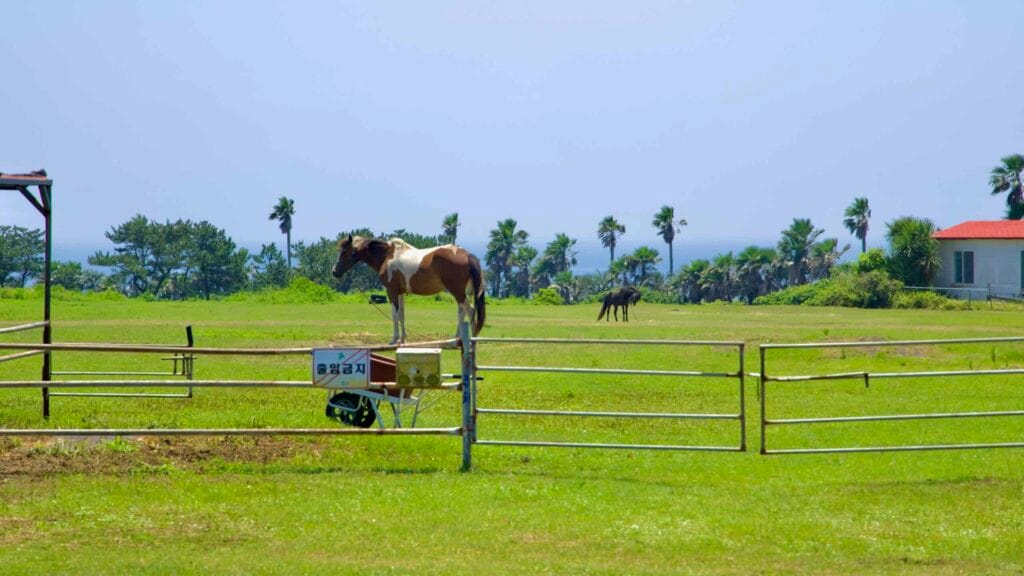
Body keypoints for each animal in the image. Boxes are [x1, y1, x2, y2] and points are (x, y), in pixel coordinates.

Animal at [332, 235, 486, 344]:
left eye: (344, 252)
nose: (334, 272)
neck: (388, 255)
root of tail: (466, 255)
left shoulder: (391, 292)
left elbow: (394, 315)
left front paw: (394, 339)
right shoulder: (400, 293)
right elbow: (402, 315)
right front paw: (403, 339)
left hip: (457, 291)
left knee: (468, 310)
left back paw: (465, 338)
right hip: (461, 292)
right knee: (464, 311)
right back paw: (463, 338)